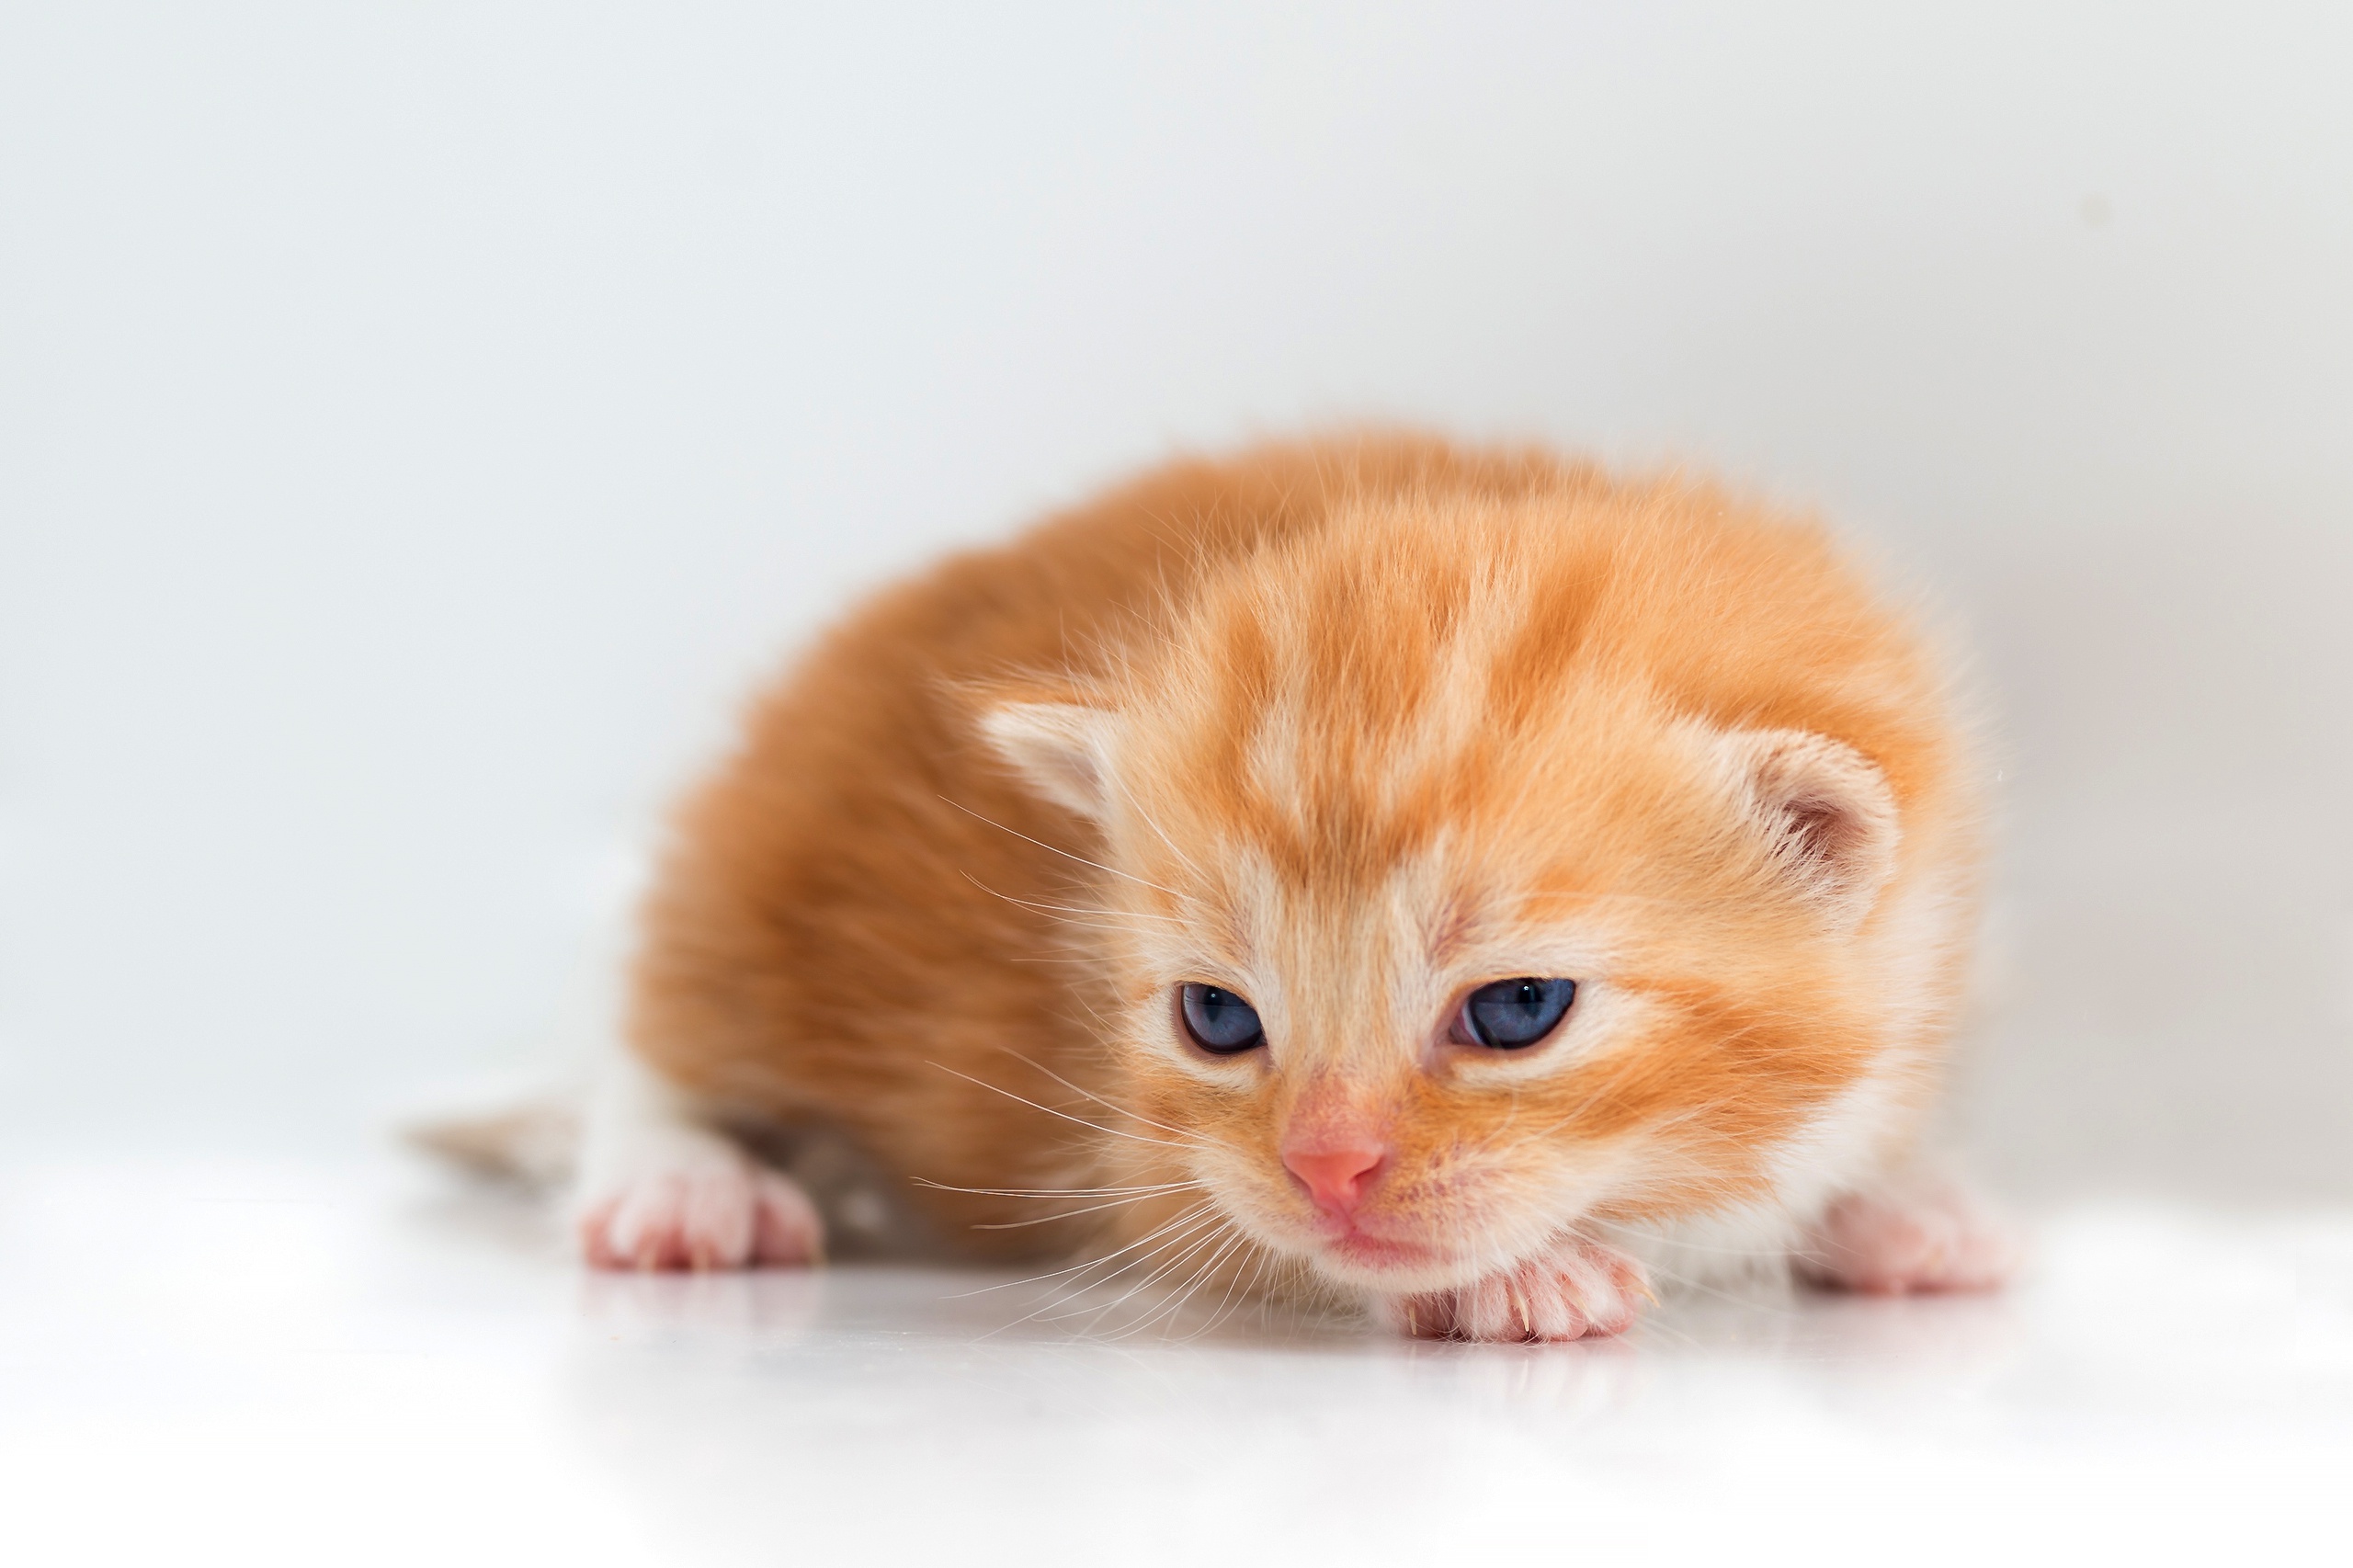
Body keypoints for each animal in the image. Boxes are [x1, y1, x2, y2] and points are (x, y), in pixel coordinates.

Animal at [564, 433, 2005, 1336]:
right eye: (1217, 1018)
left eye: (1517, 1009)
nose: (1326, 1166)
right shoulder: (1142, 1157)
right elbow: (1241, 1232)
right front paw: (1517, 1280)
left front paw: (1901, 1205)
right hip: (756, 884)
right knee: (658, 1038)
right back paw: (682, 1187)